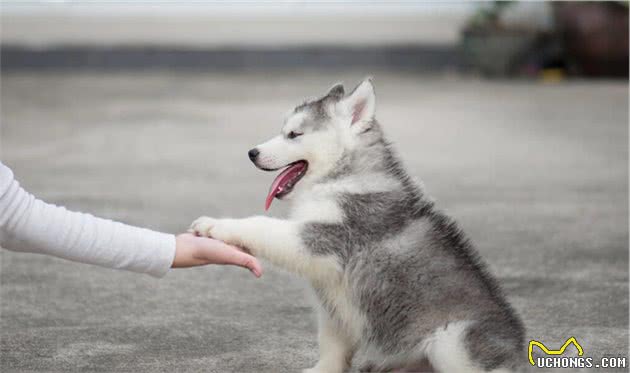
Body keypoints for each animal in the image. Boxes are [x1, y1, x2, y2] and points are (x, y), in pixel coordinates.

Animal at [190, 79, 524, 372]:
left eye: (294, 134)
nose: (252, 153)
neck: (340, 178)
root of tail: (519, 351)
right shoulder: (333, 301)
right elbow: (332, 343)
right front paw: (323, 369)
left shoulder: (326, 237)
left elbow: (263, 226)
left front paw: (216, 226)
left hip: (452, 340)